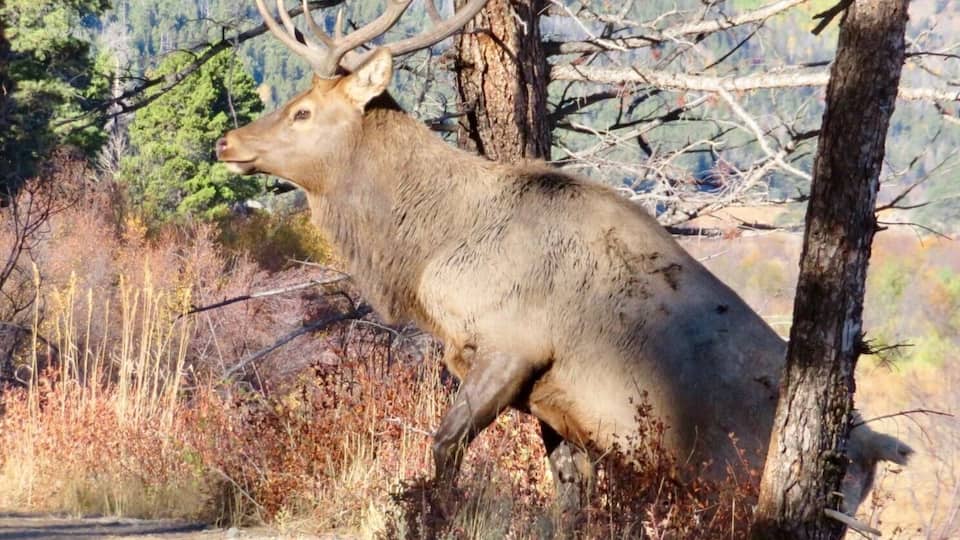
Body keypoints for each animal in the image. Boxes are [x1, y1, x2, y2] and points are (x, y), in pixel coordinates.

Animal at [216, 0, 912, 516]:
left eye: (304, 112)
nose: (228, 142)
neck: (430, 254)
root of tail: (879, 448)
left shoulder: (513, 343)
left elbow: (445, 448)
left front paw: (431, 512)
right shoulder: (554, 396)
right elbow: (569, 497)